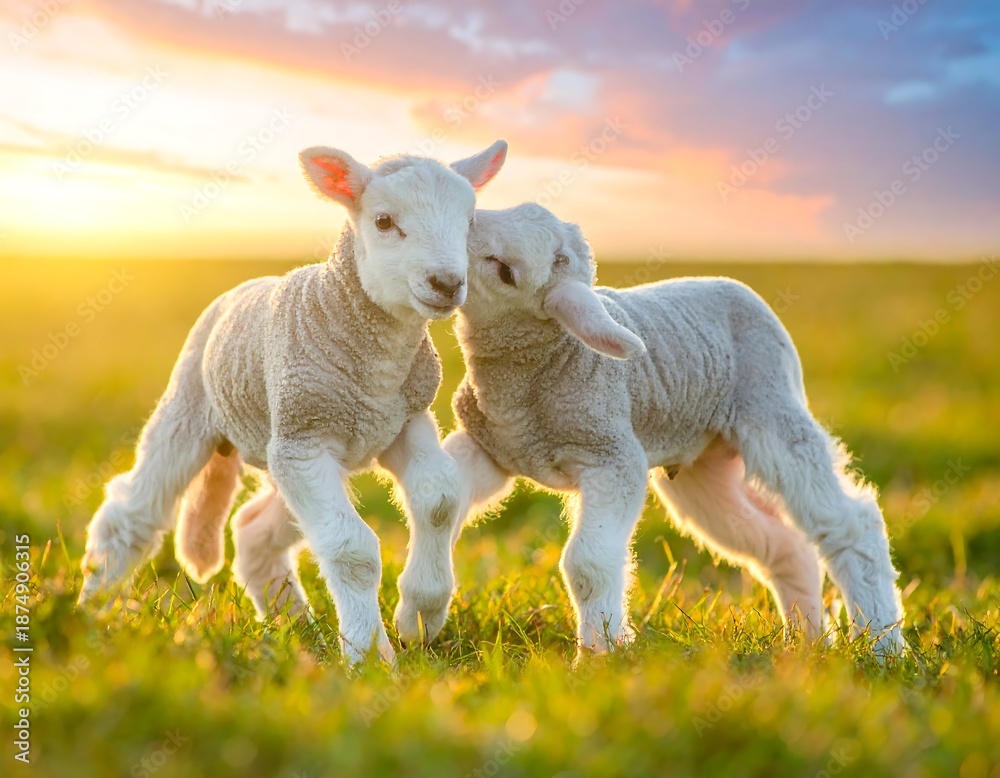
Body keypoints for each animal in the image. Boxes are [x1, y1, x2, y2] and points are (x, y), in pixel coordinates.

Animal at [77, 140, 508, 665]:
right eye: (384, 221)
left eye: (470, 221)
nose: (446, 284)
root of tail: (244, 287)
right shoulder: (305, 438)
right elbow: (352, 550)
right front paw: (370, 657)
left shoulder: (403, 422)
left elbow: (440, 499)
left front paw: (420, 614)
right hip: (195, 408)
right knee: (133, 512)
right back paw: (94, 609)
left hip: (283, 448)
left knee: (250, 529)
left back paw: (294, 625)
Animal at [437, 202, 905, 657]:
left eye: (504, 271)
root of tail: (740, 290)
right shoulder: (491, 448)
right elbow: (442, 499)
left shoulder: (613, 457)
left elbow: (587, 563)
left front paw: (600, 656)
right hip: (703, 472)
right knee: (781, 544)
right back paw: (807, 641)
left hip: (772, 410)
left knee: (850, 525)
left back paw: (881, 645)